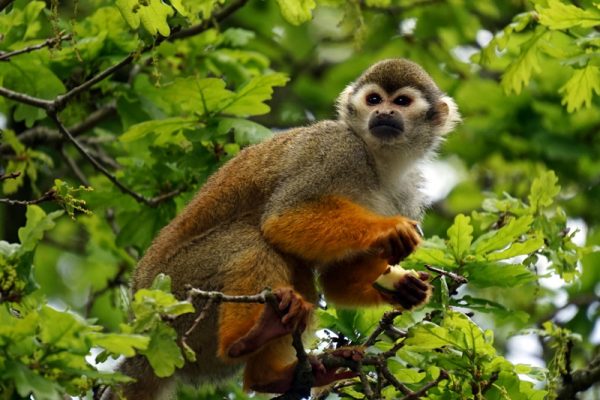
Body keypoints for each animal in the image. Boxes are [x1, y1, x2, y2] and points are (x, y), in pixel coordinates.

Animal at [113, 58, 460, 399]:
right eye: (374, 99)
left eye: (401, 102)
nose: (384, 113)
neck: (379, 161)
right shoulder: (336, 149)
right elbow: (281, 219)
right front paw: (388, 229)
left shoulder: (409, 193)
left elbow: (335, 279)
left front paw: (403, 288)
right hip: (176, 294)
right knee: (253, 240)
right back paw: (246, 338)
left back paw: (271, 375)